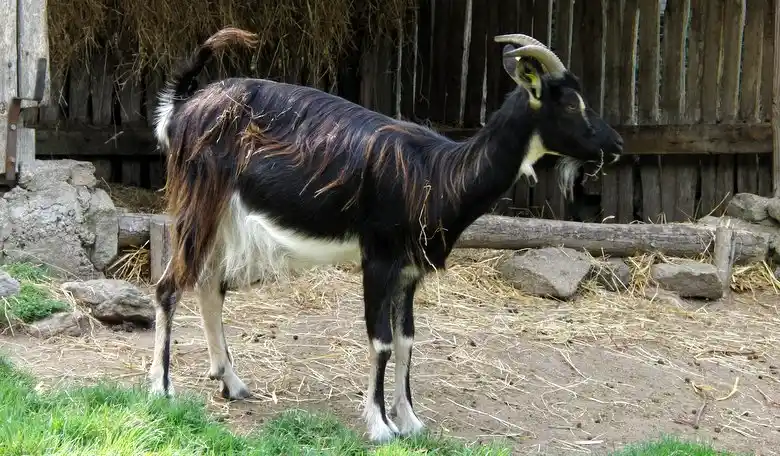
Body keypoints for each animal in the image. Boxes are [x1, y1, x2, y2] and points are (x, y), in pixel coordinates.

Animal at [148, 27, 624, 443]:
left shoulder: (410, 271)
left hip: (223, 218)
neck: (437, 173)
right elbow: (380, 341)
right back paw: (162, 389)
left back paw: (232, 383)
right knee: (169, 286)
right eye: (569, 105)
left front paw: (410, 420)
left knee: (209, 286)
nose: (616, 145)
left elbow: (406, 339)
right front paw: (380, 425)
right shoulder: (377, 258)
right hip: (198, 201)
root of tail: (182, 108)